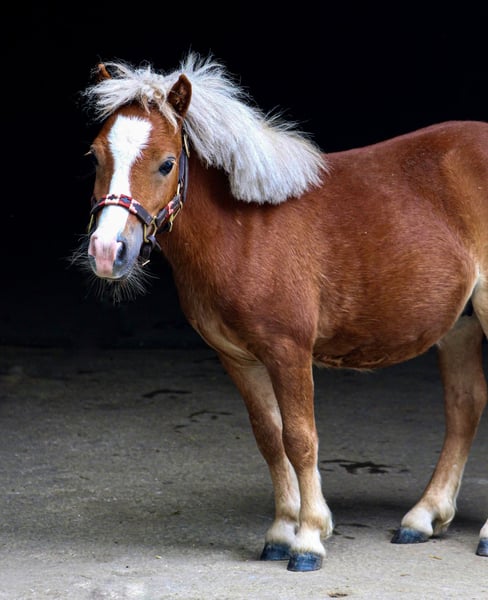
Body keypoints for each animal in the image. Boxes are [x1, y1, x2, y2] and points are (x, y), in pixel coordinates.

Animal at [74, 53, 488, 572]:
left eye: (166, 164)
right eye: (95, 156)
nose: (108, 252)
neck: (245, 227)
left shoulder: (289, 351)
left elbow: (300, 439)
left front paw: (308, 539)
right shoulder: (239, 357)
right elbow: (269, 438)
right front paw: (280, 532)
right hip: (461, 325)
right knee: (465, 406)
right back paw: (423, 517)